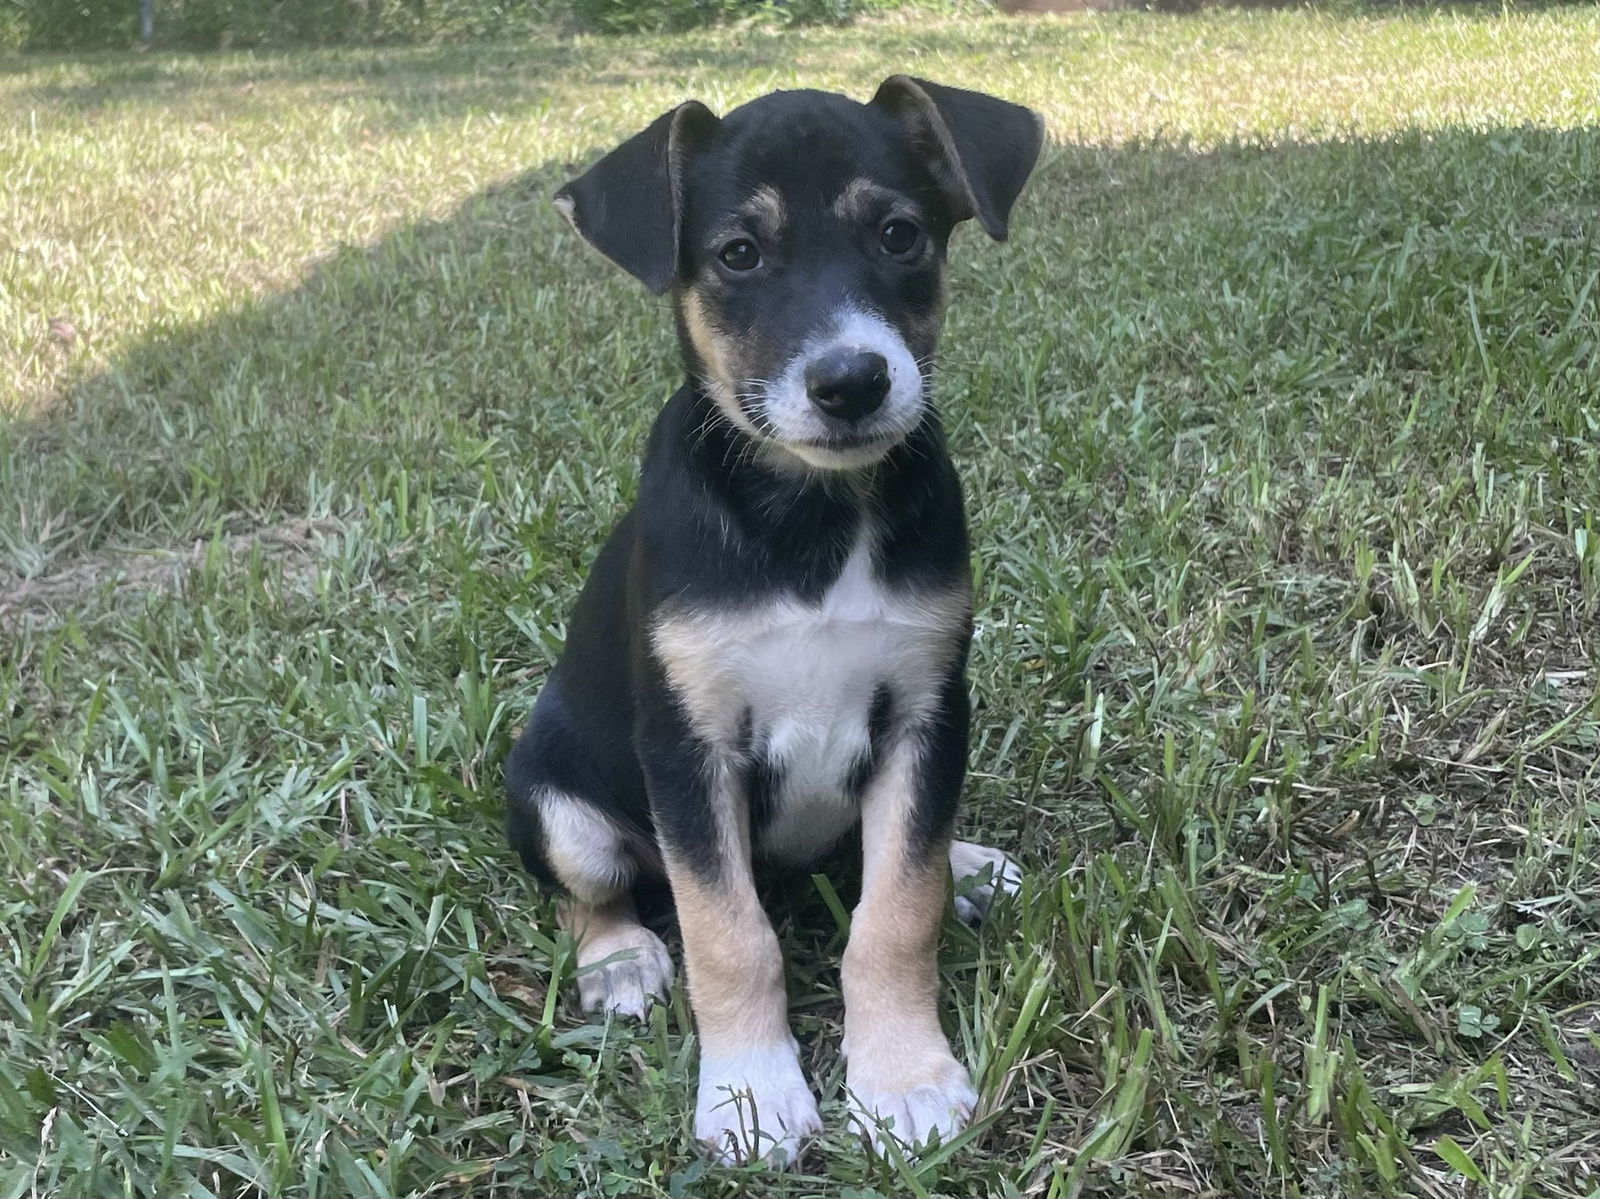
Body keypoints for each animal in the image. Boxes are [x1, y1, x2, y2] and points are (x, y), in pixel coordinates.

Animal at [505, 79, 1043, 1165]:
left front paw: (902, 1078)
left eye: (899, 234)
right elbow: (727, 933)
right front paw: (751, 1093)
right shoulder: (687, 747)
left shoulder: (927, 714)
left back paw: (968, 861)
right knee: (590, 890)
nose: (851, 382)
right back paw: (620, 958)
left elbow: (899, 905)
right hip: (553, 801)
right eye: (738, 254)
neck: (809, 519)